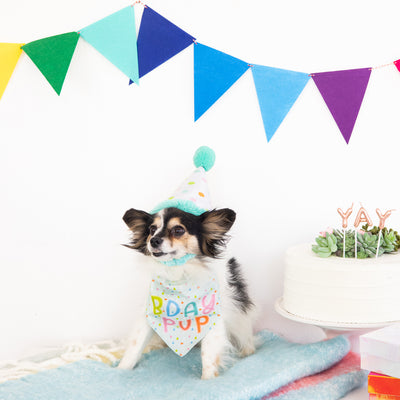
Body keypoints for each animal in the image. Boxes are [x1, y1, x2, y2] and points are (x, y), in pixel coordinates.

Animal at [118, 208, 256, 380]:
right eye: (151, 229)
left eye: (178, 230)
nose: (154, 240)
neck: (177, 274)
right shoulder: (148, 313)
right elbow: (135, 346)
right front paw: (121, 370)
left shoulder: (213, 317)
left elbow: (208, 354)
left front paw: (207, 380)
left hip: (239, 314)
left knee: (246, 335)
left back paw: (248, 351)